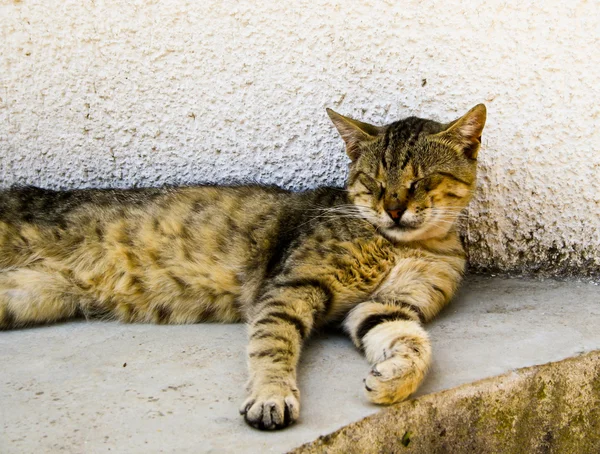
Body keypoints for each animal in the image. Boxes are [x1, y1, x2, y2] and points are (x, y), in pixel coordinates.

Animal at [0, 103, 488, 430]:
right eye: (373, 182)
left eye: (420, 181)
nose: (393, 209)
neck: (405, 246)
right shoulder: (289, 287)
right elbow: (273, 345)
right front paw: (272, 396)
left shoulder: (387, 306)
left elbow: (412, 343)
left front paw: (395, 380)